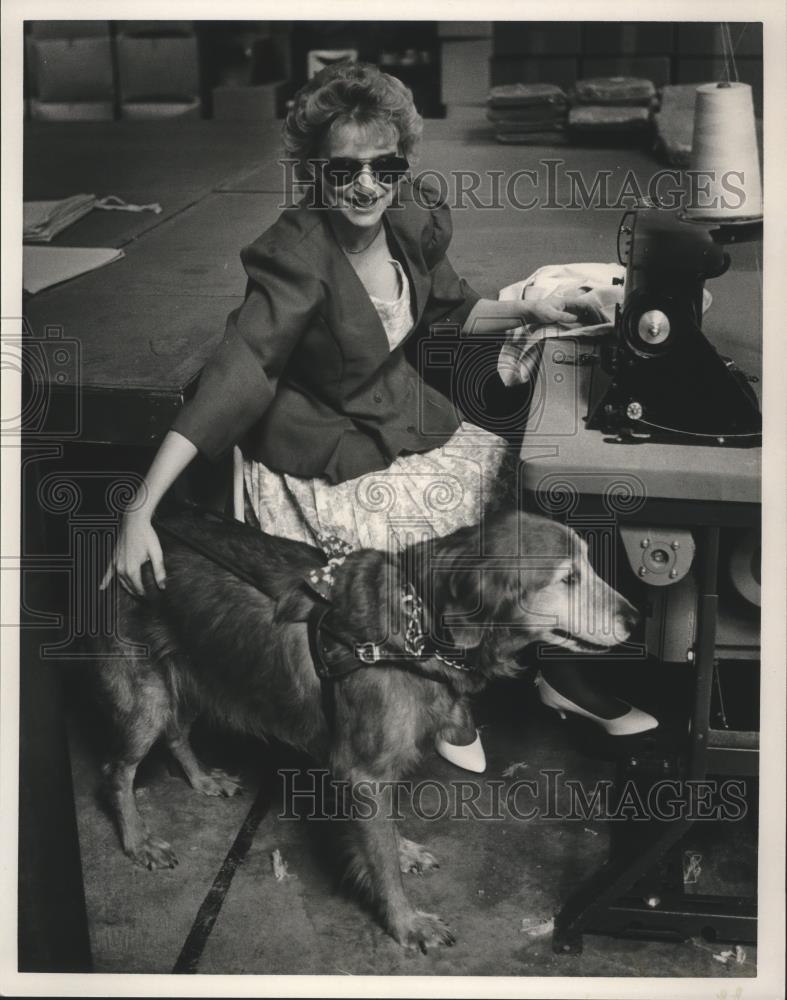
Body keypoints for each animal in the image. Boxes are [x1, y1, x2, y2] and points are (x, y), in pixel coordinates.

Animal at [92, 508, 636, 952]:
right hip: (147, 696)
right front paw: (407, 923)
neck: (418, 621)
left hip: (192, 674)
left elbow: (386, 837)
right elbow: (382, 863)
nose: (636, 616)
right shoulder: (364, 773)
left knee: (177, 733)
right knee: (117, 770)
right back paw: (138, 841)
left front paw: (403, 851)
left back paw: (204, 780)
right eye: (568, 578)